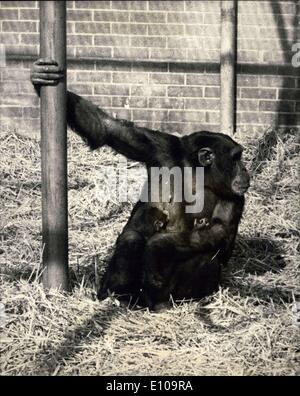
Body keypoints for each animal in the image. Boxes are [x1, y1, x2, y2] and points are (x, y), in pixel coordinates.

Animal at [31, 58, 251, 310]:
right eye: (236, 158)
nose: (244, 168)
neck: (198, 173)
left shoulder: (235, 196)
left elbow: (220, 230)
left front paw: (159, 246)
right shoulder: (161, 149)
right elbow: (108, 129)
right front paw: (41, 75)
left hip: (169, 293)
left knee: (206, 256)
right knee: (132, 239)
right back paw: (118, 297)